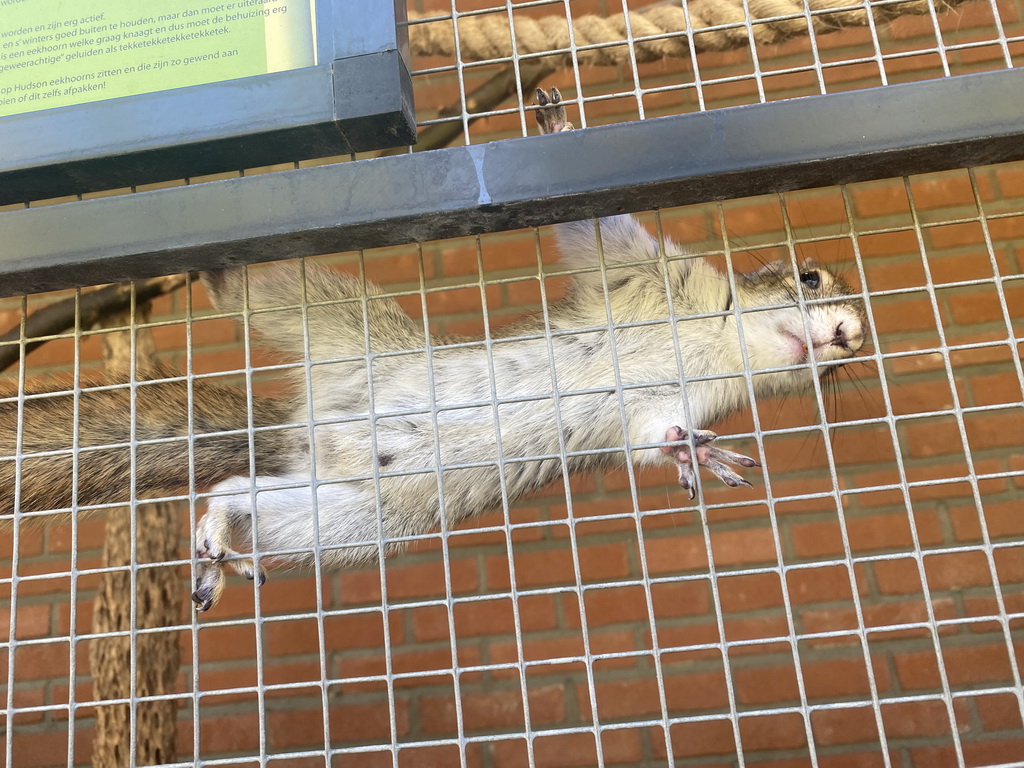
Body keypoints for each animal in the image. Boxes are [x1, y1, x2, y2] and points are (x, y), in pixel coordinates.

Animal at [0, 88, 864, 614]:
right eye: (810, 276)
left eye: (848, 361)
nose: (848, 336)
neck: (719, 343)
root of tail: (301, 430)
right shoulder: (649, 274)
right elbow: (597, 230)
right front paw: (560, 132)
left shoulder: (671, 405)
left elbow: (655, 436)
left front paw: (694, 454)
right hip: (331, 321)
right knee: (253, 289)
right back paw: (215, 260)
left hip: (356, 516)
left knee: (251, 494)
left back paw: (220, 527)